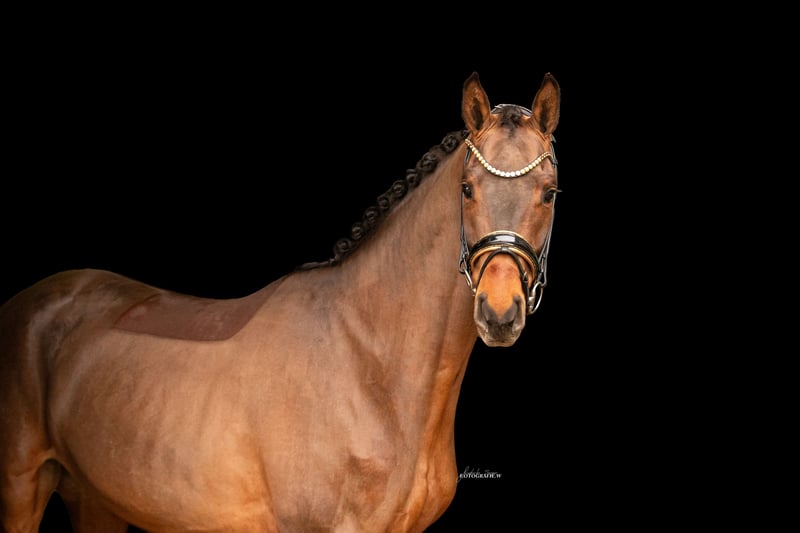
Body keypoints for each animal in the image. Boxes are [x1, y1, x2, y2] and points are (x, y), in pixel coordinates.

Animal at [0, 71, 561, 532]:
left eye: (550, 193)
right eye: (466, 188)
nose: (498, 312)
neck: (369, 364)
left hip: (95, 500)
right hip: (21, 488)